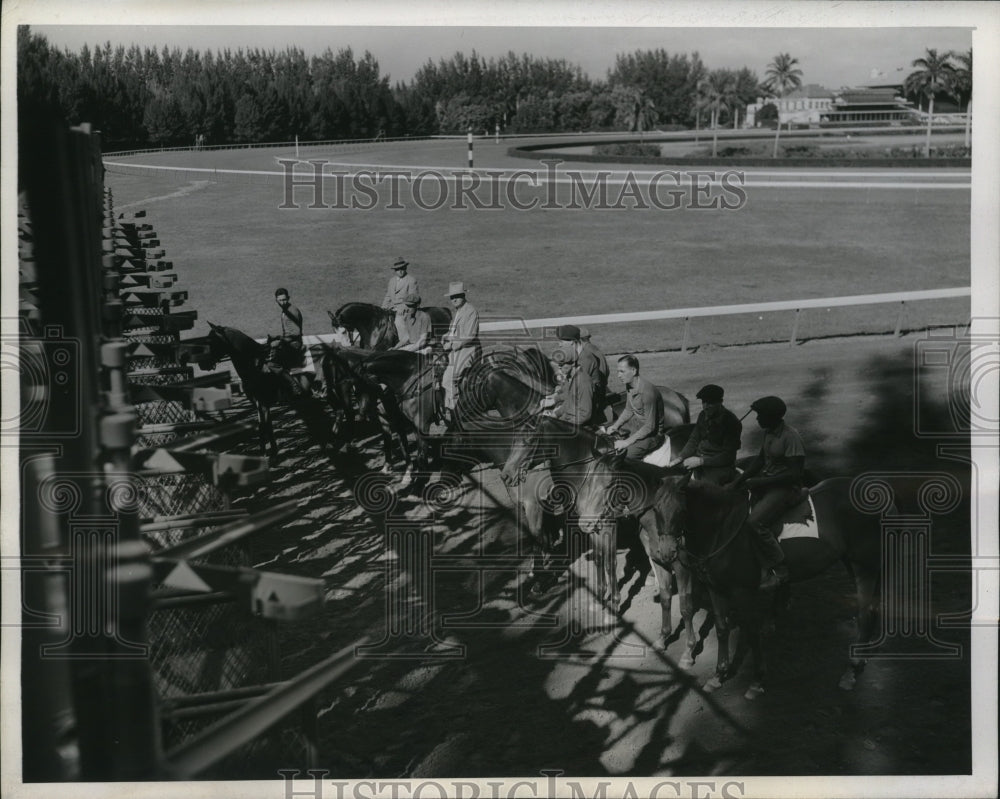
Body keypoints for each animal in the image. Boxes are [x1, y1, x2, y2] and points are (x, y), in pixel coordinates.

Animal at [205, 324, 334, 460]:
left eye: (211, 341)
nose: (204, 364)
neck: (255, 366)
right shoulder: (259, 404)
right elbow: (266, 426)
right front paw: (271, 452)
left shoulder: (262, 404)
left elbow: (263, 427)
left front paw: (266, 455)